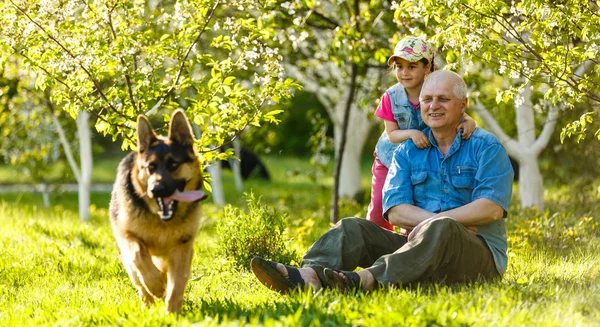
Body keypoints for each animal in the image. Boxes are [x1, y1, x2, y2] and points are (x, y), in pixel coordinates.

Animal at [109, 109, 207, 312]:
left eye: (173, 165)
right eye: (150, 168)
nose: (156, 190)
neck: (162, 221)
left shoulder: (182, 247)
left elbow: (177, 286)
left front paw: (173, 313)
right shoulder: (128, 236)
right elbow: (139, 255)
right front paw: (155, 285)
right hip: (128, 260)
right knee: (139, 282)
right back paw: (148, 301)